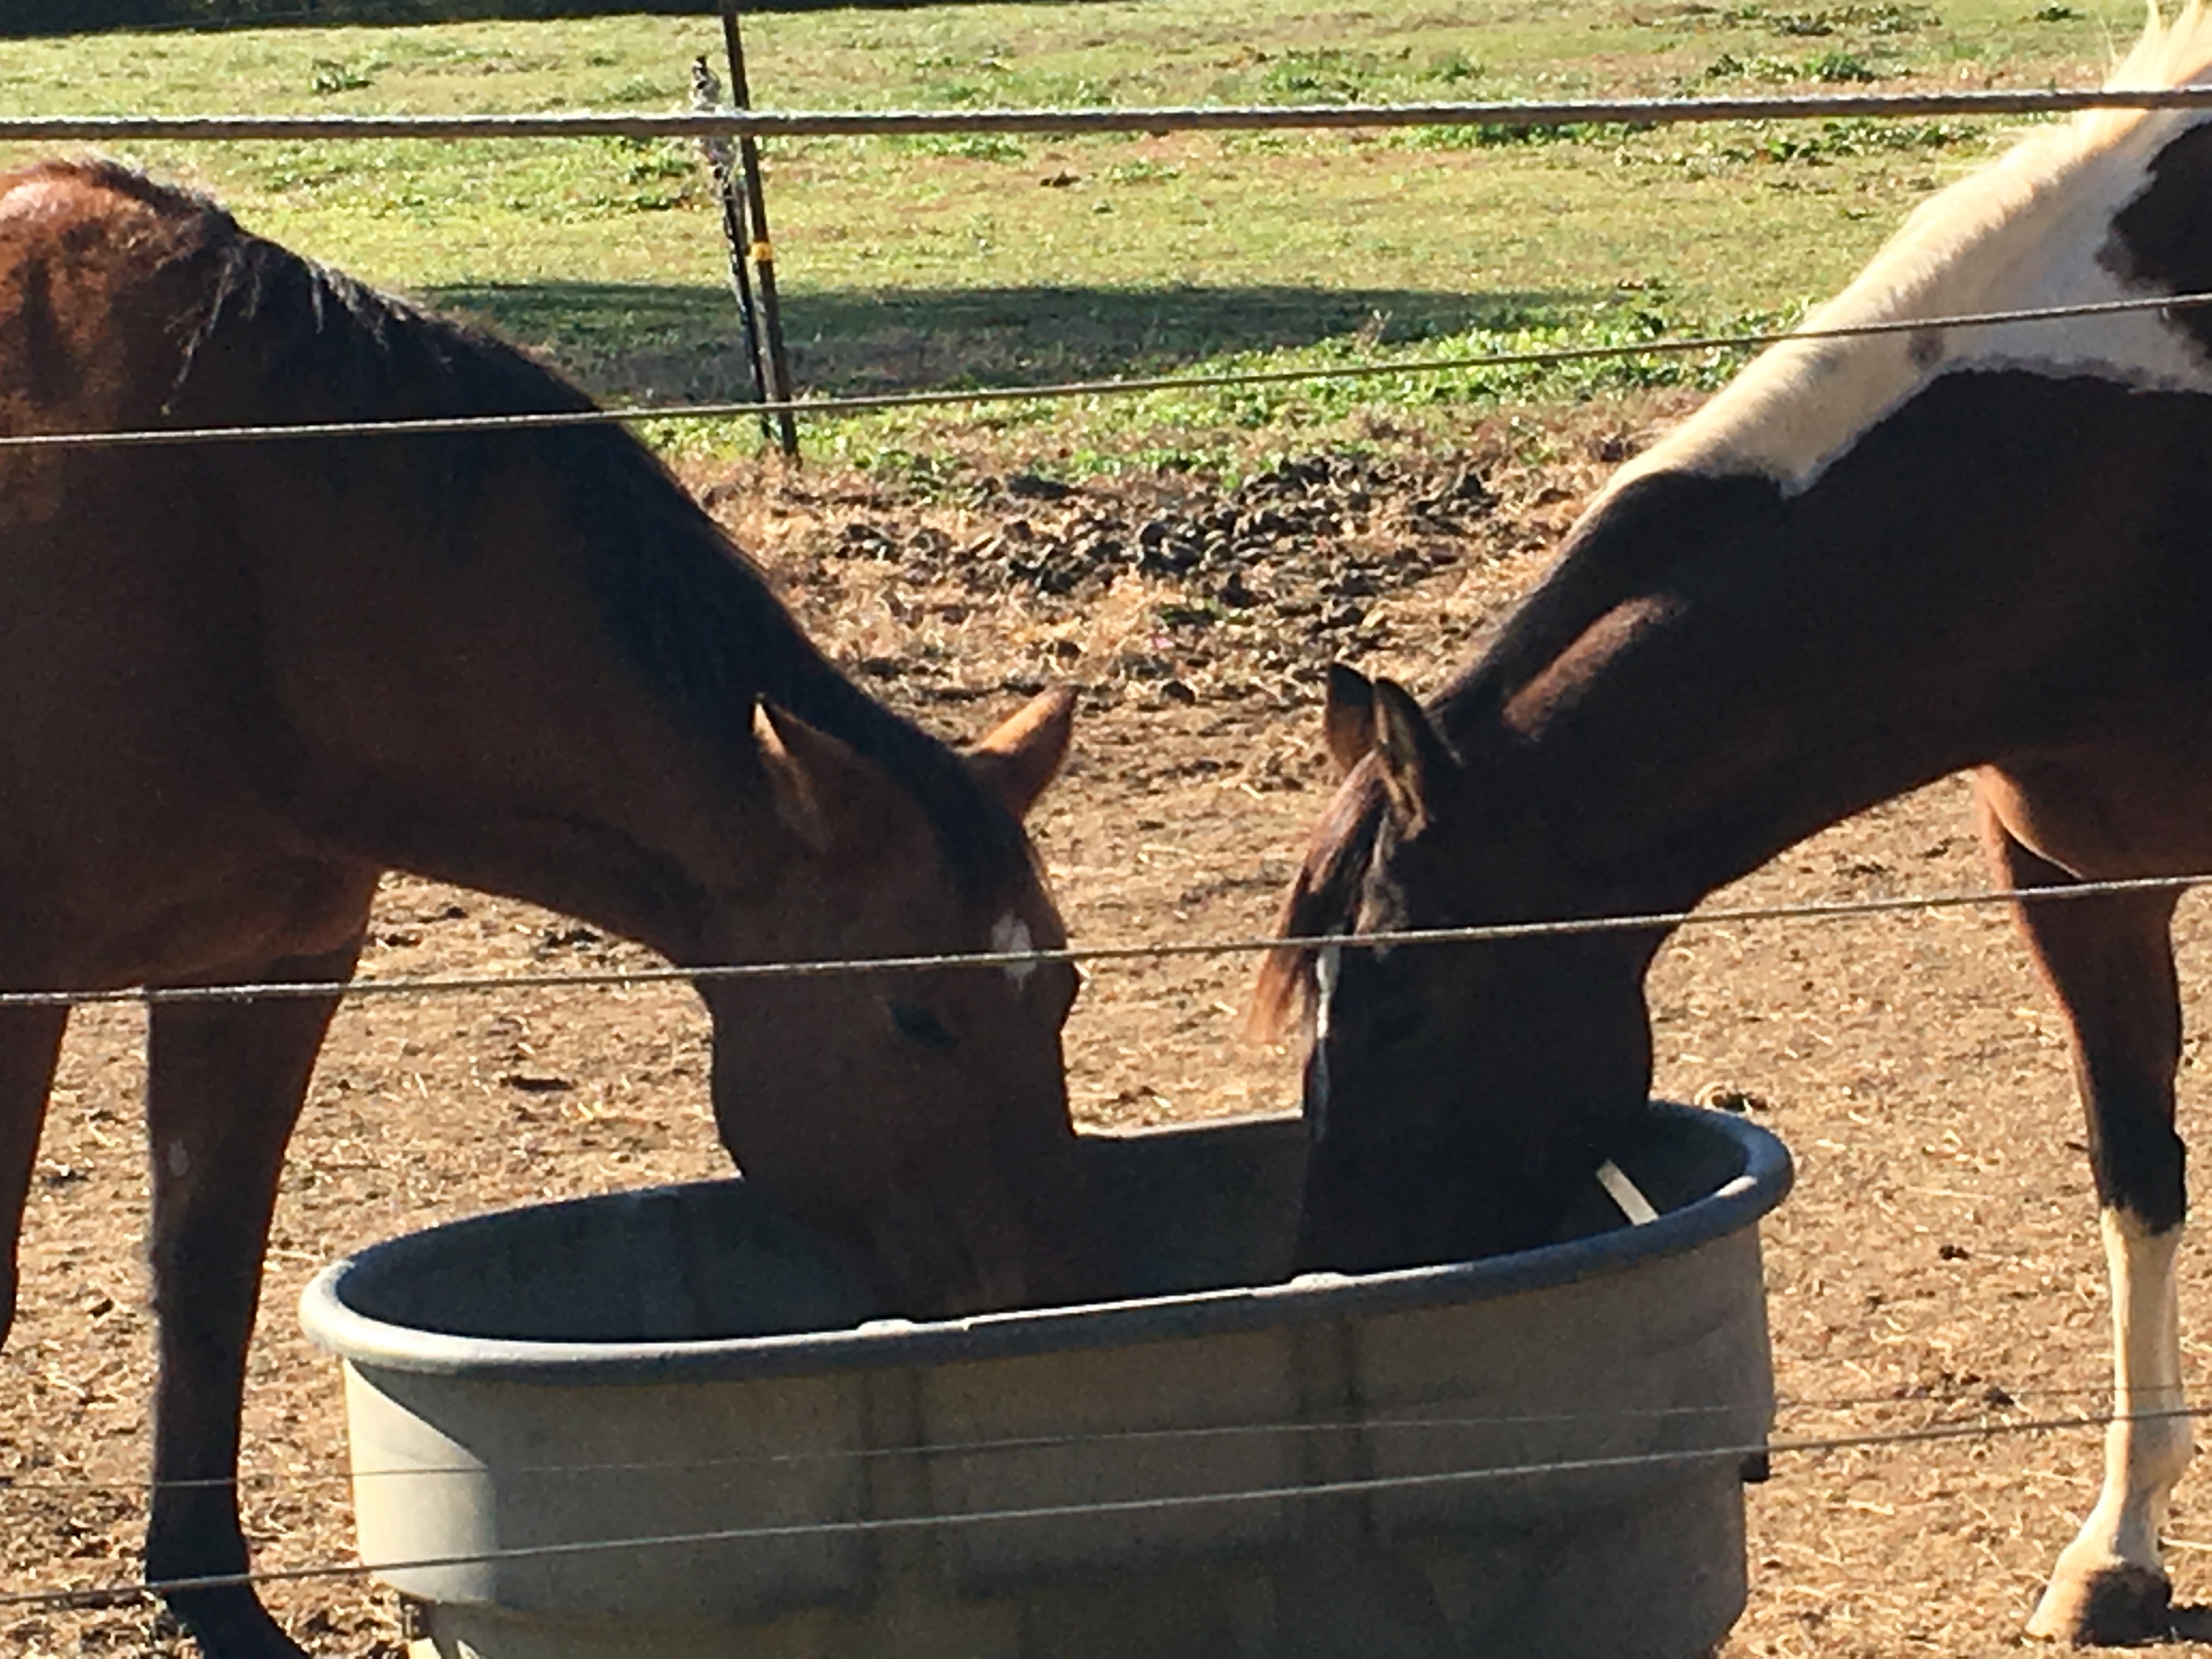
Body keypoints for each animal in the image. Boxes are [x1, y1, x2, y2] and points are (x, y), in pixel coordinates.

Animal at [0, 158, 1108, 1658]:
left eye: (1064, 988)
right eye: (915, 1017)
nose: (1040, 1297)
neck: (211, 537)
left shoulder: (266, 970)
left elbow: (206, 1275)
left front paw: (216, 1599)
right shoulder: (22, 992)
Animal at [1255, 7, 2212, 1644]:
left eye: (1399, 1010)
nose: (1332, 1290)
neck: (2118, 462)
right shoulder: (2078, 880)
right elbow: (2138, 1179)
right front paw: (2116, 1552)